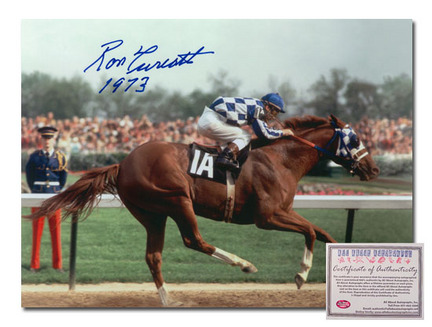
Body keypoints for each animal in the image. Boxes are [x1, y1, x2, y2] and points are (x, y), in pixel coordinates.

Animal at [26, 114, 378, 306]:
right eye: (355, 138)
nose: (373, 169)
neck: (281, 159)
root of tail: (123, 163)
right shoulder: (267, 217)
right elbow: (309, 231)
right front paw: (301, 275)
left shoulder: (284, 212)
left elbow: (324, 233)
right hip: (178, 199)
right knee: (194, 240)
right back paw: (244, 264)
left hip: (152, 214)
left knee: (153, 256)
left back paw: (168, 299)